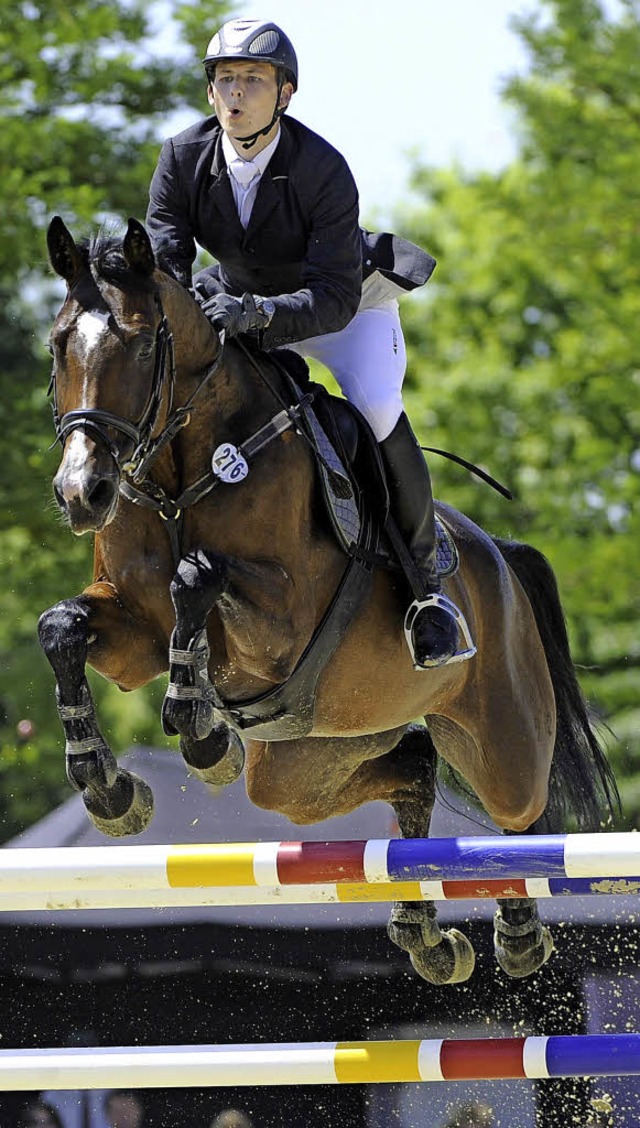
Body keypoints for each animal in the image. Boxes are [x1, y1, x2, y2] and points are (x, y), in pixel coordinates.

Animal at [37, 215, 618, 983]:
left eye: (137, 341)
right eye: (58, 344)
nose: (82, 494)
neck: (179, 472)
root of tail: (499, 555)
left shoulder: (280, 622)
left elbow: (196, 577)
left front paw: (202, 733)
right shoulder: (134, 633)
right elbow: (62, 626)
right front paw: (109, 789)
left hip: (501, 736)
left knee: (524, 814)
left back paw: (518, 934)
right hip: (307, 759)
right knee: (411, 768)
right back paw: (426, 937)